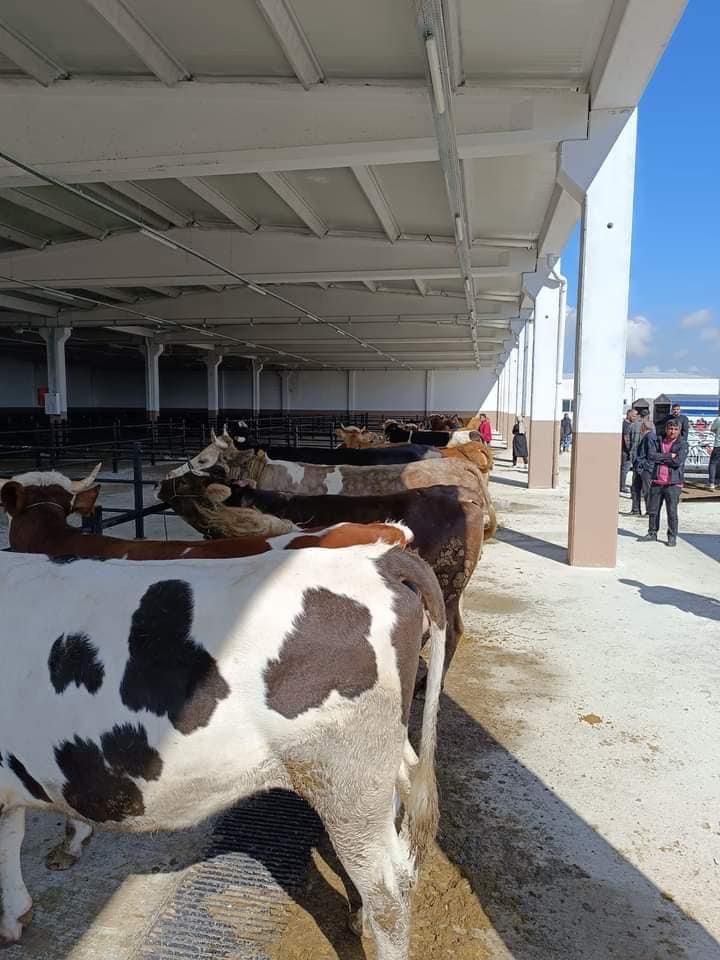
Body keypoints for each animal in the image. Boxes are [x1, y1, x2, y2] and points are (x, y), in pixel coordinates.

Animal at [0, 544, 444, 956]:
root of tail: (380, 558)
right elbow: (12, 836)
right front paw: (16, 914)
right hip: (376, 770)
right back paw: (358, 918)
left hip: (345, 778)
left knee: (389, 894)